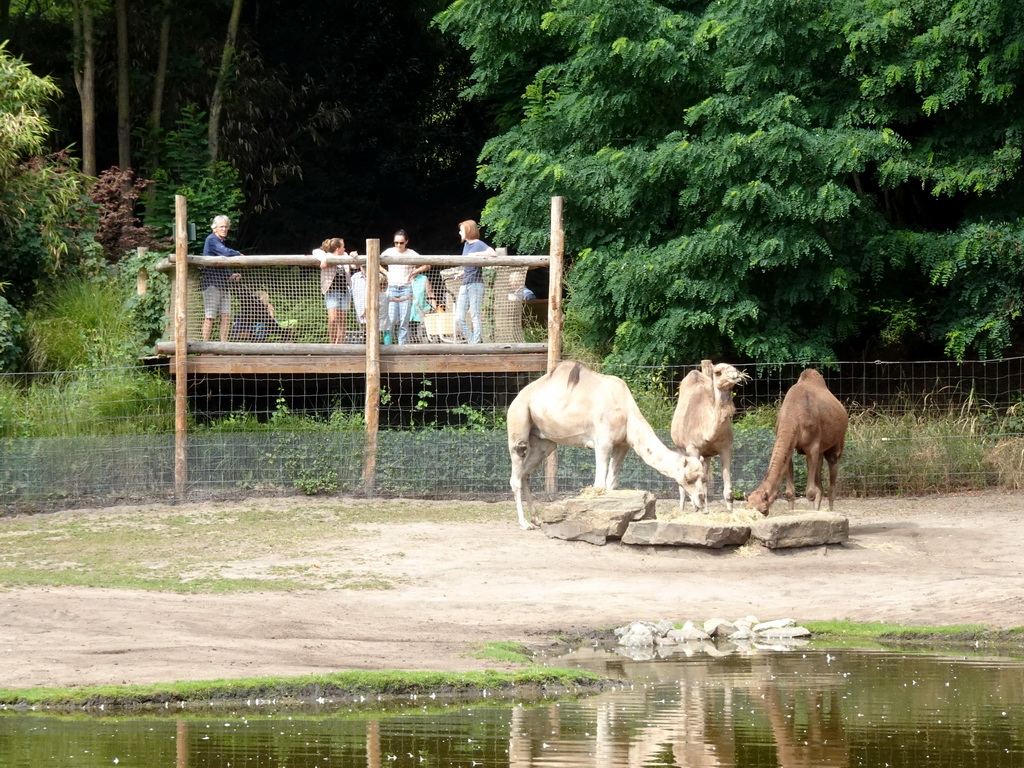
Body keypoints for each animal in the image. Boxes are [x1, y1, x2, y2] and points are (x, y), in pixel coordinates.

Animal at [503, 364, 704, 532]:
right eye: (689, 479)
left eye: (703, 478)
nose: (701, 500)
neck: (626, 412)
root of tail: (516, 399)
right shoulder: (603, 442)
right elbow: (599, 484)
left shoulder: (622, 445)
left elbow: (611, 485)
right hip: (518, 426)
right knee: (515, 475)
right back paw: (524, 523)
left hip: (543, 442)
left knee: (525, 474)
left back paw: (536, 519)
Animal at [671, 360, 753, 512]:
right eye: (717, 372)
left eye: (734, 368)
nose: (735, 375)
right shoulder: (693, 449)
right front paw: (696, 510)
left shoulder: (726, 447)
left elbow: (728, 492)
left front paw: (730, 512)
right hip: (681, 449)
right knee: (684, 483)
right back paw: (683, 509)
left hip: (707, 456)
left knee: (704, 481)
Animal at [745, 368, 847, 518]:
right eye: (747, 508)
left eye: (763, 510)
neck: (793, 416)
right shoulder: (791, 447)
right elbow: (789, 492)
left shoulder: (812, 447)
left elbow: (810, 493)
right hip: (820, 452)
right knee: (820, 487)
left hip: (837, 443)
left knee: (831, 483)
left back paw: (831, 512)